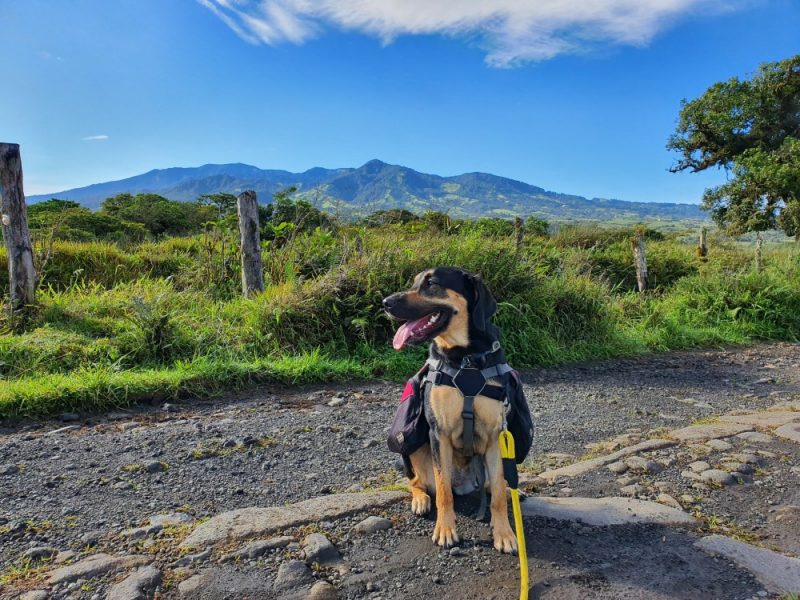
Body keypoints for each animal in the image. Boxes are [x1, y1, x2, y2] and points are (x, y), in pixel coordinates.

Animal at [382, 268, 520, 552]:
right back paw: (420, 499)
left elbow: (498, 496)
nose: (385, 303)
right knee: (416, 481)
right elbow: (444, 491)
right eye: (414, 283)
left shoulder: (495, 437)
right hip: (415, 446)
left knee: (495, 484)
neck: (465, 357)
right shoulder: (439, 433)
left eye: (431, 283)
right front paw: (445, 530)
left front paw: (505, 534)